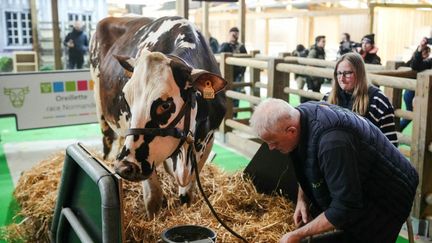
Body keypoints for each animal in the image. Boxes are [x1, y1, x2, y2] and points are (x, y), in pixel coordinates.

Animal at [90, 16, 228, 218]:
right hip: (99, 106)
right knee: (107, 140)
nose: (124, 167)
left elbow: (187, 194)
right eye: (127, 98)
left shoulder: (207, 141)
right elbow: (153, 197)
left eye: (165, 105)